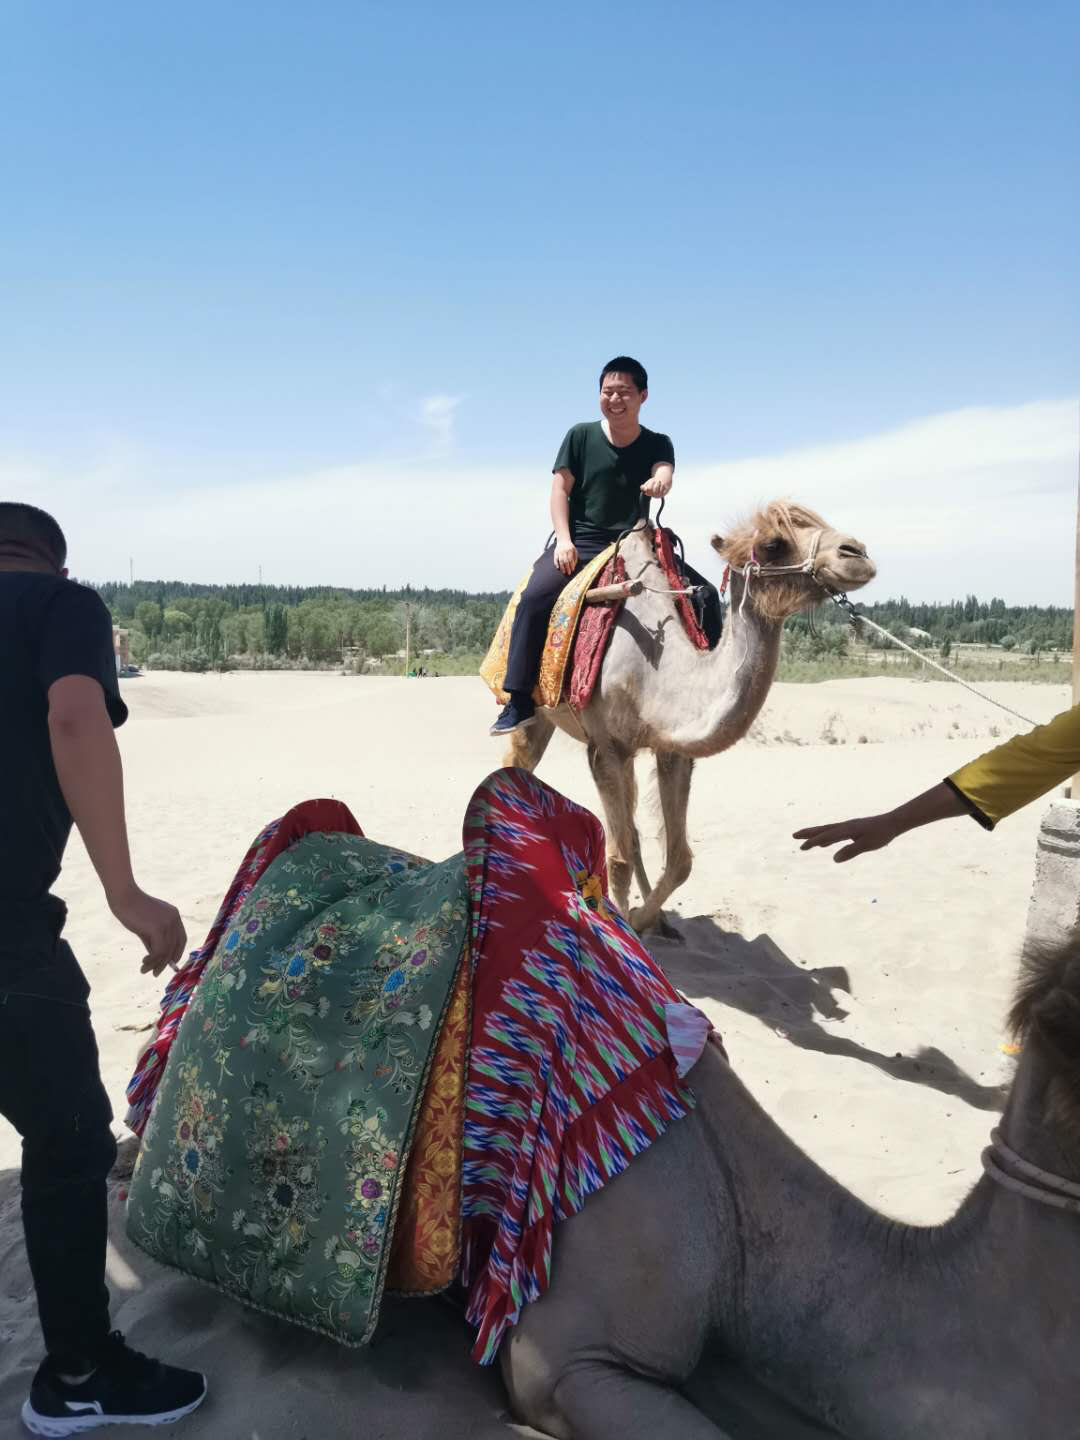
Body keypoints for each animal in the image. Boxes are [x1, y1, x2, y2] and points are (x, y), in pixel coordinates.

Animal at [503, 503, 876, 931]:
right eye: (773, 544)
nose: (857, 553)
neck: (654, 667)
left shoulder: (673, 749)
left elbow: (679, 860)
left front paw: (641, 918)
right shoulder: (605, 748)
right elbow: (617, 861)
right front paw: (625, 926)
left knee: (633, 831)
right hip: (537, 712)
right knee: (518, 764)